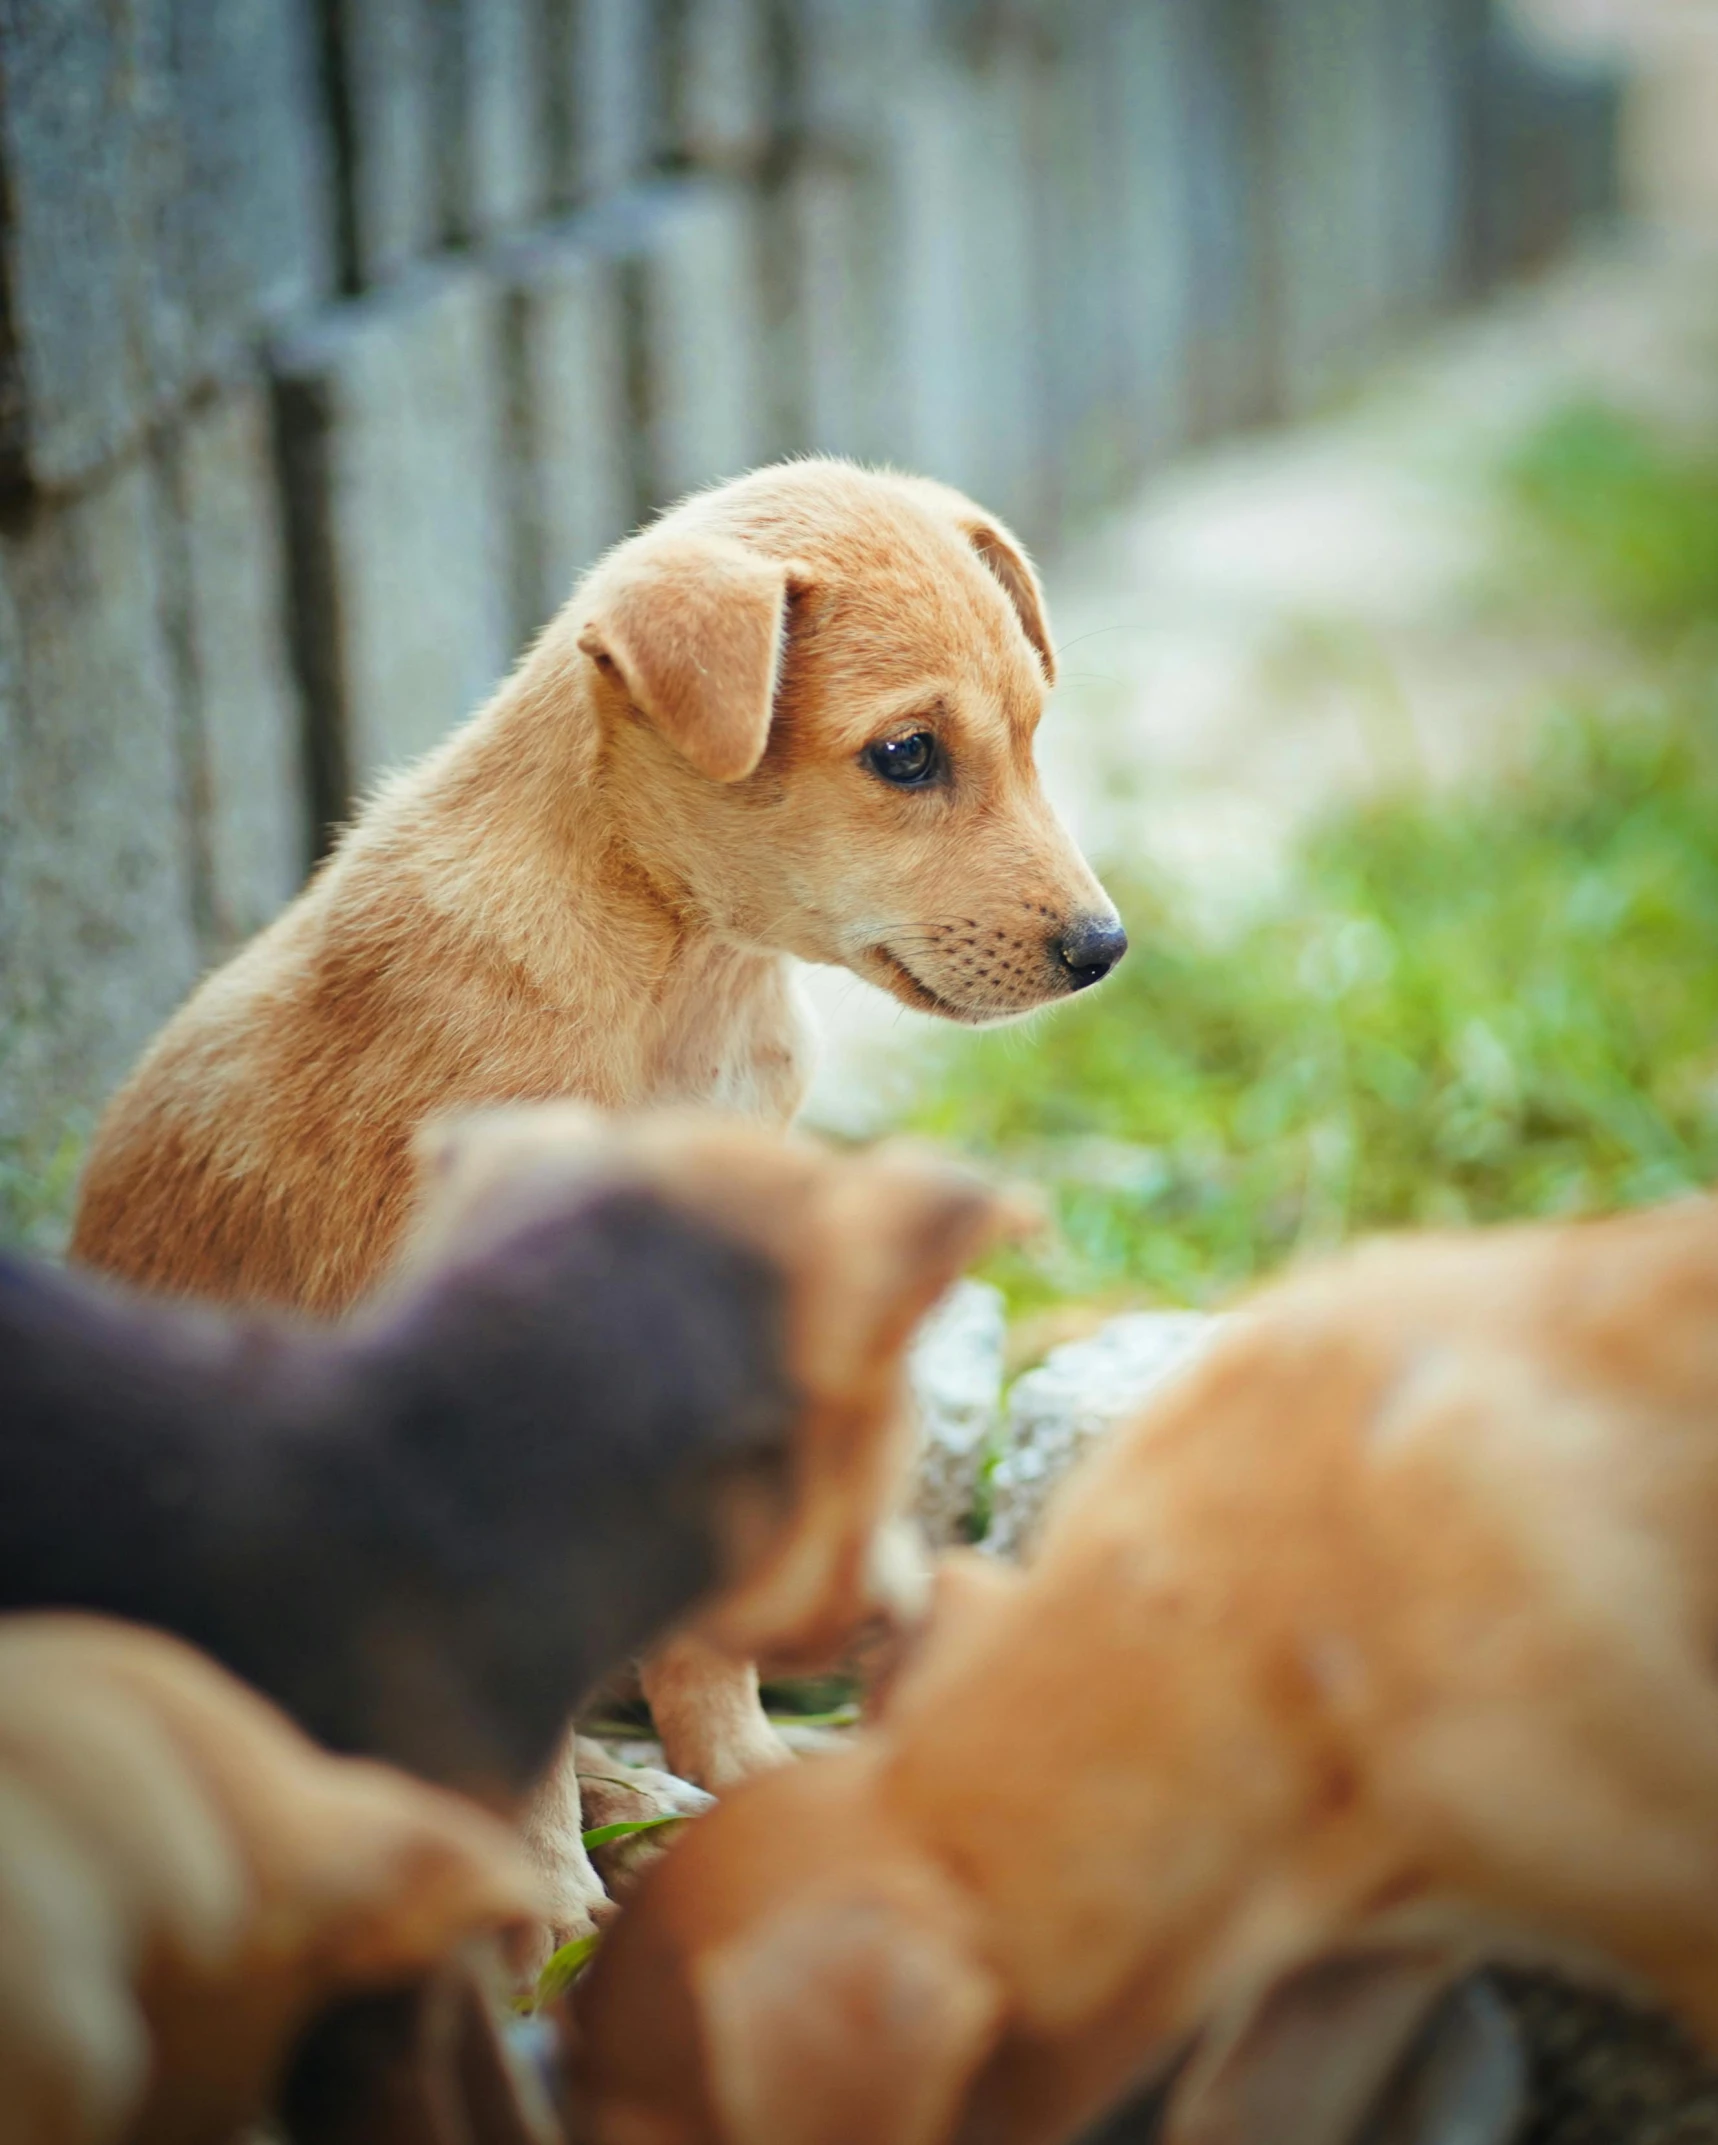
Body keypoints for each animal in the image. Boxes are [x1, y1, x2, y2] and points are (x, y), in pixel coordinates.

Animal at [63, 452, 1115, 1827]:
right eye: (905, 755)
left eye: (1035, 730)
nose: (1105, 950)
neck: (681, 968)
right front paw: (575, 1870)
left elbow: (701, 1654)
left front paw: (747, 1780)